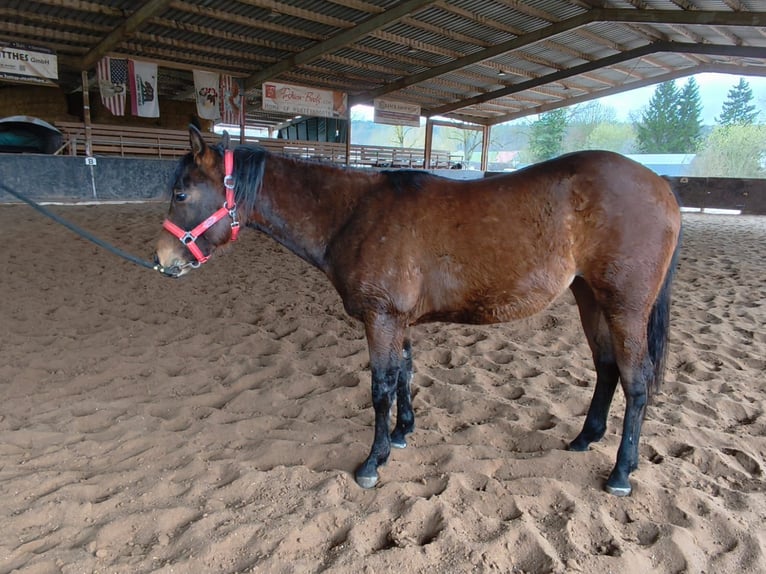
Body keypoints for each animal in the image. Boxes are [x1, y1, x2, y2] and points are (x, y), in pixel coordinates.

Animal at [155, 127, 682, 496]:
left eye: (181, 193)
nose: (162, 259)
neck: (354, 212)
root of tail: (661, 187)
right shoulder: (397, 319)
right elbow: (405, 373)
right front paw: (403, 434)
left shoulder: (381, 317)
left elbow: (381, 387)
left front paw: (374, 460)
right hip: (589, 296)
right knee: (606, 367)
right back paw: (584, 439)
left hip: (624, 306)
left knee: (636, 381)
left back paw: (620, 472)